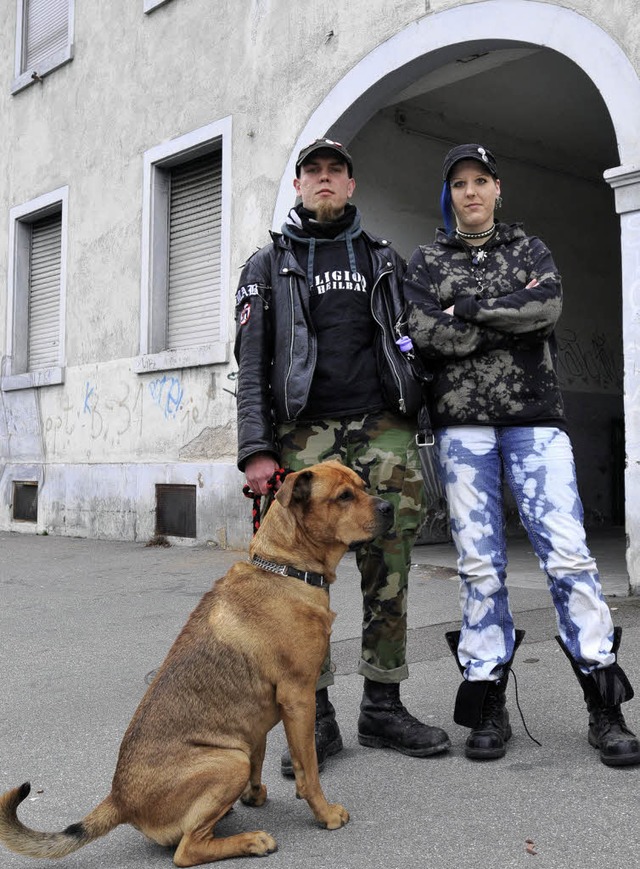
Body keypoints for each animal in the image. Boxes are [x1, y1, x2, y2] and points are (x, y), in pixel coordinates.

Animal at [0, 458, 390, 864]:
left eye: (362, 486)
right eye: (343, 496)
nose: (389, 508)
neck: (285, 569)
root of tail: (120, 799)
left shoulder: (260, 722)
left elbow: (261, 754)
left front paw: (254, 795)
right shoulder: (298, 697)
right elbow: (308, 769)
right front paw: (325, 813)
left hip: (232, 756)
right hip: (228, 761)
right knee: (187, 850)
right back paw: (251, 841)